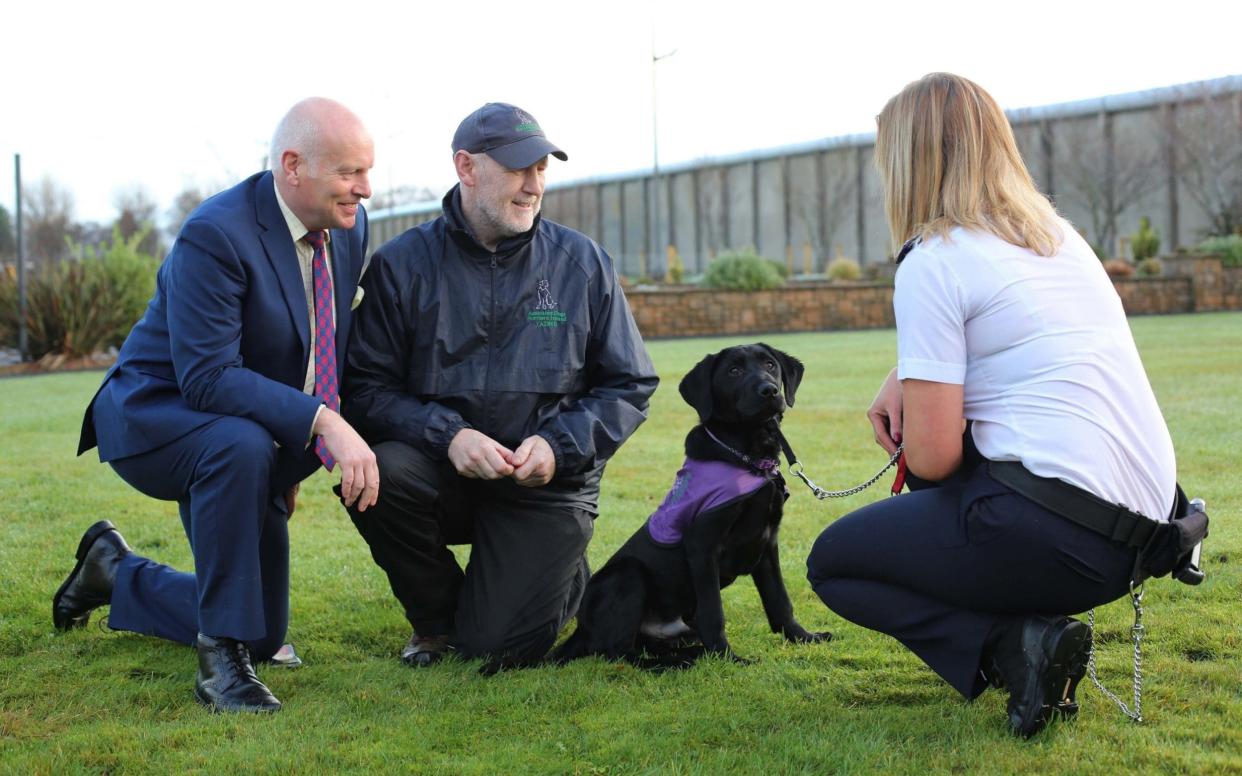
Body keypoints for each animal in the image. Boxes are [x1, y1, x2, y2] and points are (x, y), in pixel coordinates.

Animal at [556, 340, 834, 665]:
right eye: (734, 371)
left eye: (770, 365)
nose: (769, 390)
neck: (748, 456)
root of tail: (581, 631)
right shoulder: (703, 546)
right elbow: (713, 612)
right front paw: (728, 658)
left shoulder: (767, 542)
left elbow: (779, 600)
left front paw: (803, 637)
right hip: (626, 575)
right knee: (619, 652)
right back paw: (678, 662)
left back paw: (689, 652)